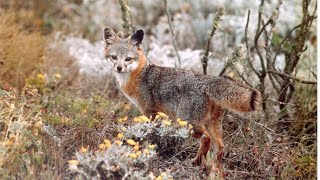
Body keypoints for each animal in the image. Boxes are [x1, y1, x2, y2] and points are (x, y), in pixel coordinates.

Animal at [104, 26, 262, 173]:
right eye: (114, 57)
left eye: (128, 59)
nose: (119, 68)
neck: (140, 75)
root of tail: (208, 81)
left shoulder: (150, 112)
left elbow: (148, 132)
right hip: (212, 125)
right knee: (220, 146)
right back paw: (214, 169)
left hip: (188, 123)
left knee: (206, 139)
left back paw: (197, 162)